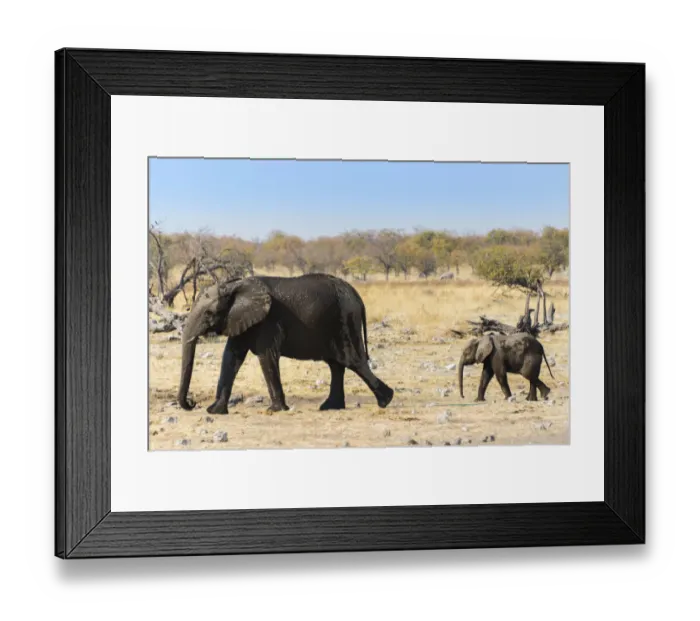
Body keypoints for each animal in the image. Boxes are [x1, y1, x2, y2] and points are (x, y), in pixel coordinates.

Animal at [177, 274, 394, 414]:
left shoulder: (268, 321)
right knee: (336, 365)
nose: (192, 403)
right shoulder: (241, 318)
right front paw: (214, 411)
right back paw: (330, 407)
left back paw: (386, 400)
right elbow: (231, 357)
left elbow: (266, 356)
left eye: (209, 313)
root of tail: (358, 296)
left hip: (346, 319)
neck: (236, 285)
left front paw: (275, 410)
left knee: (352, 361)